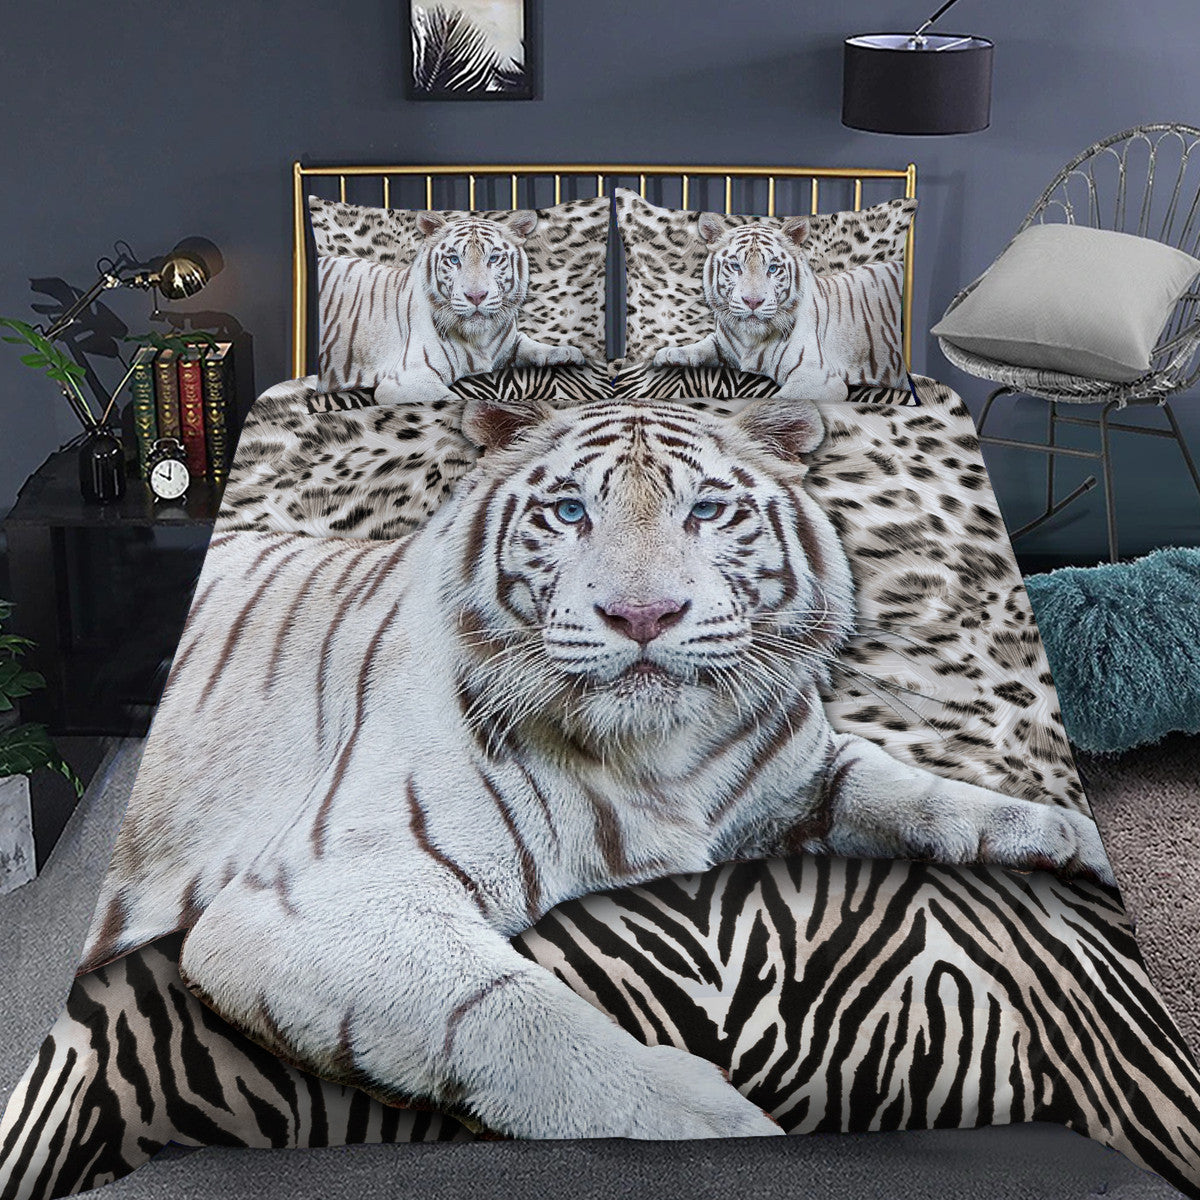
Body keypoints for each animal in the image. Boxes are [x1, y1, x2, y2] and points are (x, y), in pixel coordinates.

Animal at [78, 396, 1113, 1143]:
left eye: (707, 509)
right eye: (570, 512)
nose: (642, 615)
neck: (668, 761)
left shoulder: (802, 774)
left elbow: (924, 796)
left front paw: (1070, 839)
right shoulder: (315, 895)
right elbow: (516, 1016)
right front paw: (725, 1128)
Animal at [318, 210, 585, 405]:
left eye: (493, 258)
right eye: (454, 260)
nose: (476, 296)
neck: (480, 340)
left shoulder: (508, 342)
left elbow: (529, 344)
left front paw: (567, 352)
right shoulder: (404, 380)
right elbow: (453, 400)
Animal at [653, 214, 905, 402]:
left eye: (772, 269)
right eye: (735, 266)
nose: (752, 301)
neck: (750, 341)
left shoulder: (819, 378)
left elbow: (778, 401)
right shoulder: (724, 343)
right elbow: (704, 344)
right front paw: (669, 353)